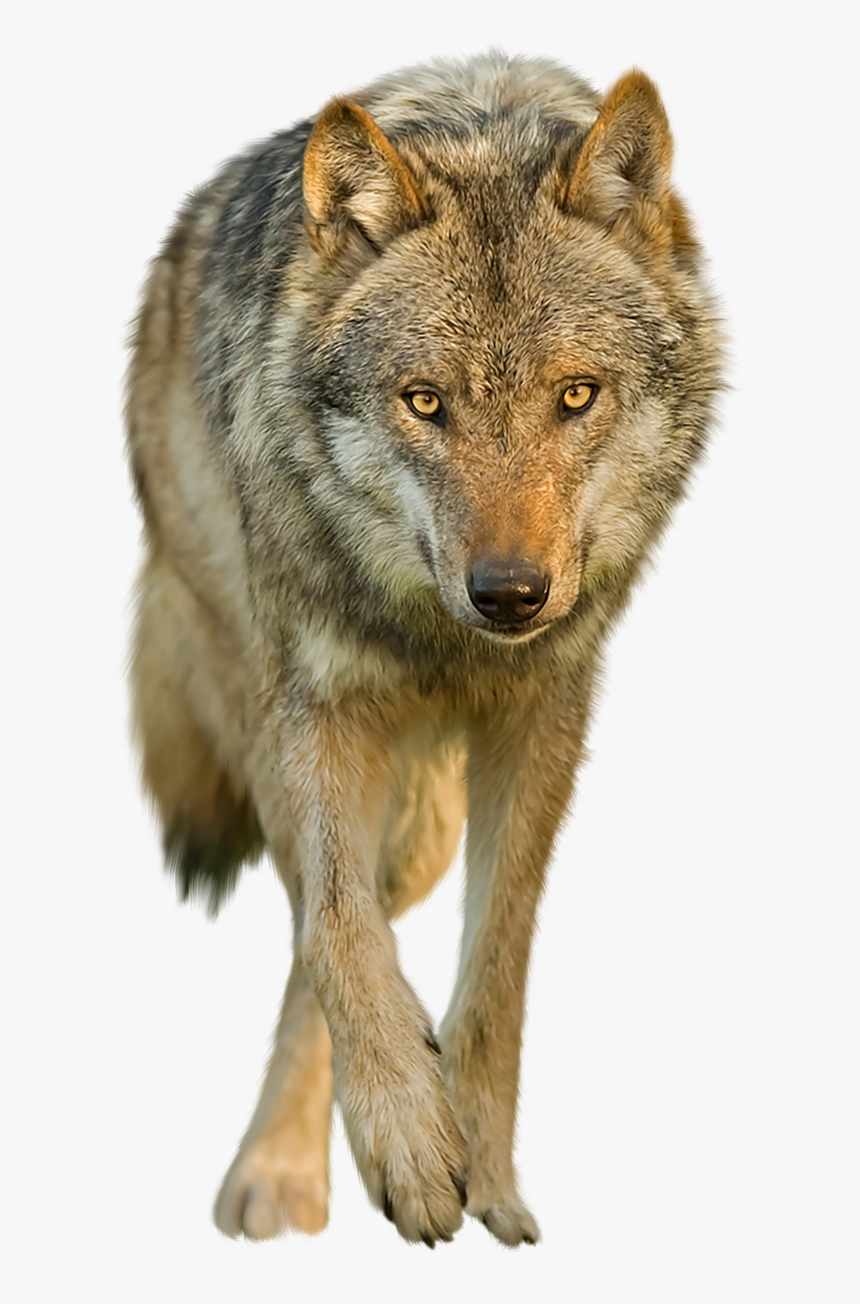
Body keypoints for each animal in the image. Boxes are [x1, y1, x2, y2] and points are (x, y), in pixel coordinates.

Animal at [126, 52, 722, 1247]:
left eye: (575, 394)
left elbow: (499, 958)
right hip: (284, 731)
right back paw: (282, 1170)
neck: (443, 642)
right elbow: (339, 928)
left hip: (422, 822)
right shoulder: (312, 702)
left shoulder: (545, 716)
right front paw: (407, 1134)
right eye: (424, 402)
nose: (510, 594)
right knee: (318, 915)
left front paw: (481, 1167)